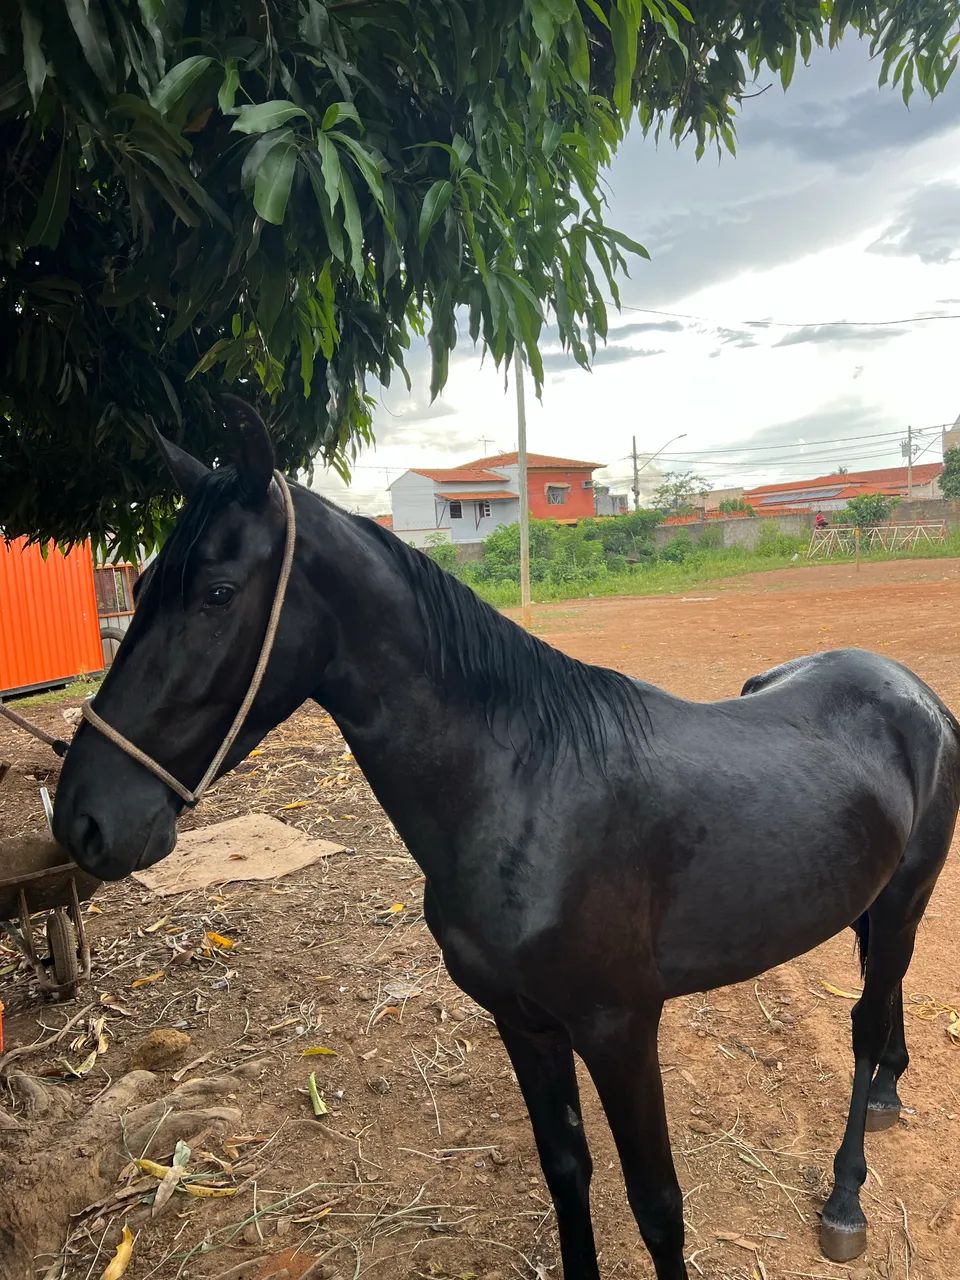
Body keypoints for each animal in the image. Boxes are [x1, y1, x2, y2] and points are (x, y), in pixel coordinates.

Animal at [55, 401, 960, 1280]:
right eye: (141, 586)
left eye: (216, 592)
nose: (82, 820)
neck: (528, 792)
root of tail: (912, 693)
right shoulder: (524, 1026)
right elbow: (567, 1173)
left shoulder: (621, 1030)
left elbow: (658, 1207)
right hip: (868, 906)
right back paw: (890, 1092)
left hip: (905, 901)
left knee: (865, 1026)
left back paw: (846, 1198)